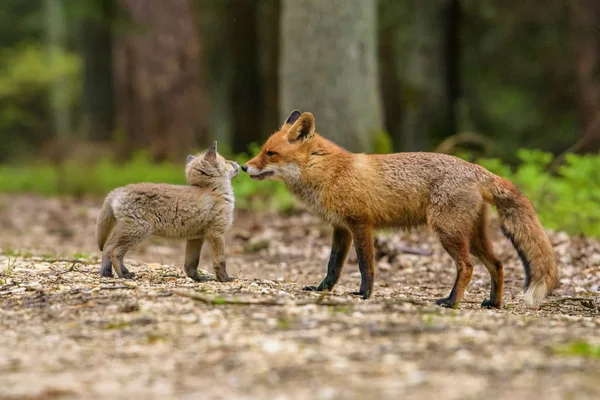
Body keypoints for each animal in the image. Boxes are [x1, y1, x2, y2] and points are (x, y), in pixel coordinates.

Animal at [243, 111, 556, 308]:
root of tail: (475, 168)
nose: (244, 167)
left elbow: (365, 265)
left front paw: (364, 294)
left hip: (448, 232)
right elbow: (333, 266)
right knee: (498, 264)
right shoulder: (341, 228)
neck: (329, 172)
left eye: (270, 153)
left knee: (466, 267)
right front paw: (322, 290)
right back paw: (493, 303)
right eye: (262, 150)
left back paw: (451, 302)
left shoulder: (361, 224)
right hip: (473, 237)